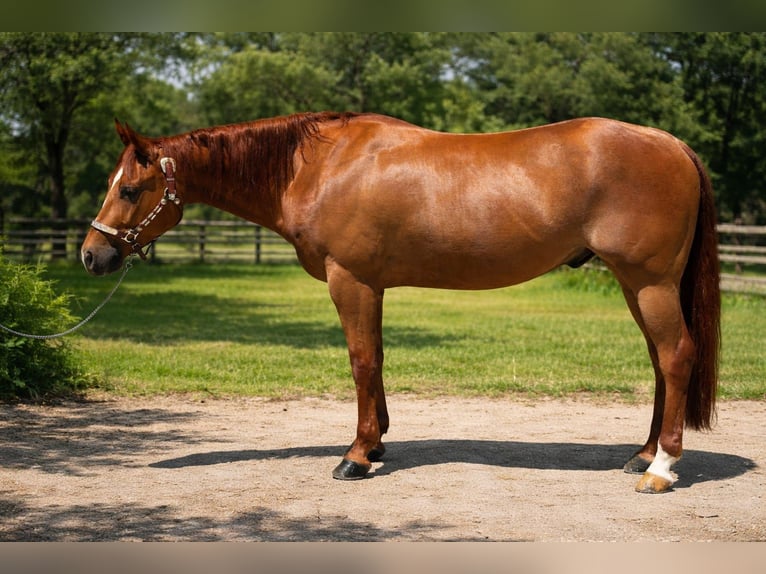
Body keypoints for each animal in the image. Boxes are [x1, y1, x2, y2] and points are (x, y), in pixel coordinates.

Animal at [81, 111, 721, 494]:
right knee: (661, 362)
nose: (93, 255)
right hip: (636, 285)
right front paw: (380, 441)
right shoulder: (373, 286)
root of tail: (672, 145)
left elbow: (361, 362)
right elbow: (379, 360)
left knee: (676, 356)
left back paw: (662, 469)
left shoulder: (351, 281)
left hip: (649, 282)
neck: (321, 166)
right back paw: (642, 454)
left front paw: (356, 455)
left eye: (130, 189)